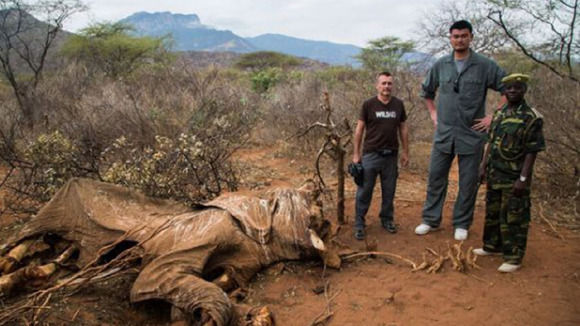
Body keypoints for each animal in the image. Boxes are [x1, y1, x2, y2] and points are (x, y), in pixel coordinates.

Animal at [0, 178, 340, 326]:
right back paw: (11, 266)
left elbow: (223, 283)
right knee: (23, 236)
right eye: (309, 202)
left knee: (58, 256)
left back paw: (29, 274)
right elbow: (152, 278)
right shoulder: (209, 230)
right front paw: (207, 317)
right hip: (61, 202)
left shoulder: (244, 263)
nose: (326, 223)